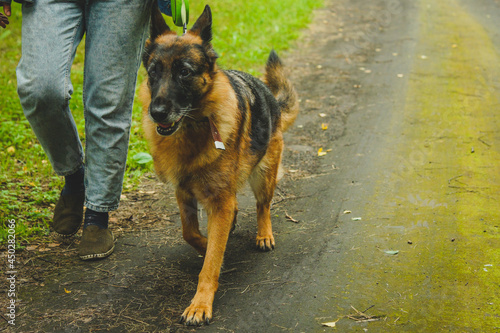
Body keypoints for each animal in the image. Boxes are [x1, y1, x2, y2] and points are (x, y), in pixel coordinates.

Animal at [139, 2, 298, 324]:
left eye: (184, 72)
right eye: (153, 72)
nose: (157, 112)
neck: (193, 127)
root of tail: (272, 101)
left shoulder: (220, 200)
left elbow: (211, 261)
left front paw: (200, 303)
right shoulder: (185, 193)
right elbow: (191, 234)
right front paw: (208, 243)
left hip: (264, 176)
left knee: (263, 206)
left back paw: (264, 234)